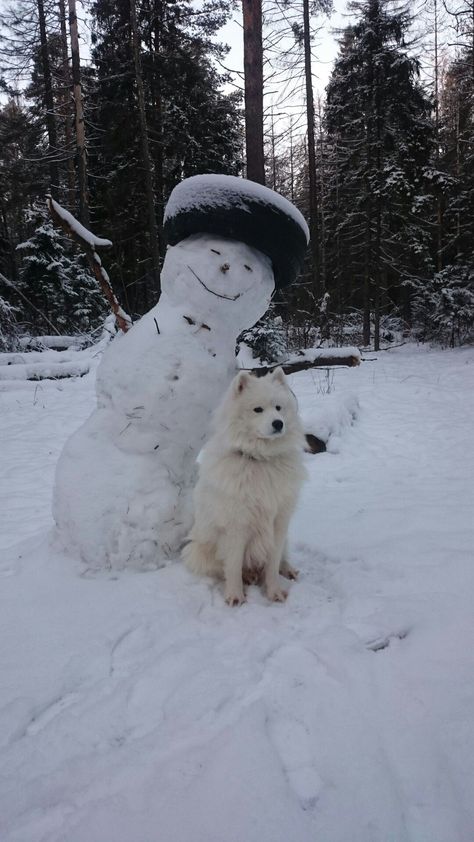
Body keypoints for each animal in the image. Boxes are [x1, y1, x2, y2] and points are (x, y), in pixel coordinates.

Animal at [181, 368, 308, 604]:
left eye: (278, 408)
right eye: (258, 409)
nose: (278, 423)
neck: (260, 459)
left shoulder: (279, 523)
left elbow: (272, 564)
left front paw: (274, 592)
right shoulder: (236, 526)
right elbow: (232, 566)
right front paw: (235, 596)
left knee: (282, 558)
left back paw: (288, 570)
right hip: (197, 551)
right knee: (223, 568)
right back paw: (248, 577)